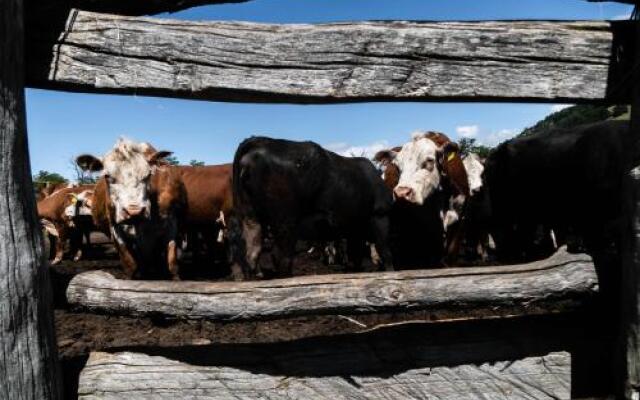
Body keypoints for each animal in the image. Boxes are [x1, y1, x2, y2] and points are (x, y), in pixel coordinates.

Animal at [226, 136, 396, 280]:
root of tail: (259, 140)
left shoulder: (354, 229)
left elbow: (356, 257)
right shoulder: (379, 215)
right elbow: (385, 251)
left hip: (251, 216)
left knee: (252, 254)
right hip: (285, 222)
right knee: (280, 256)